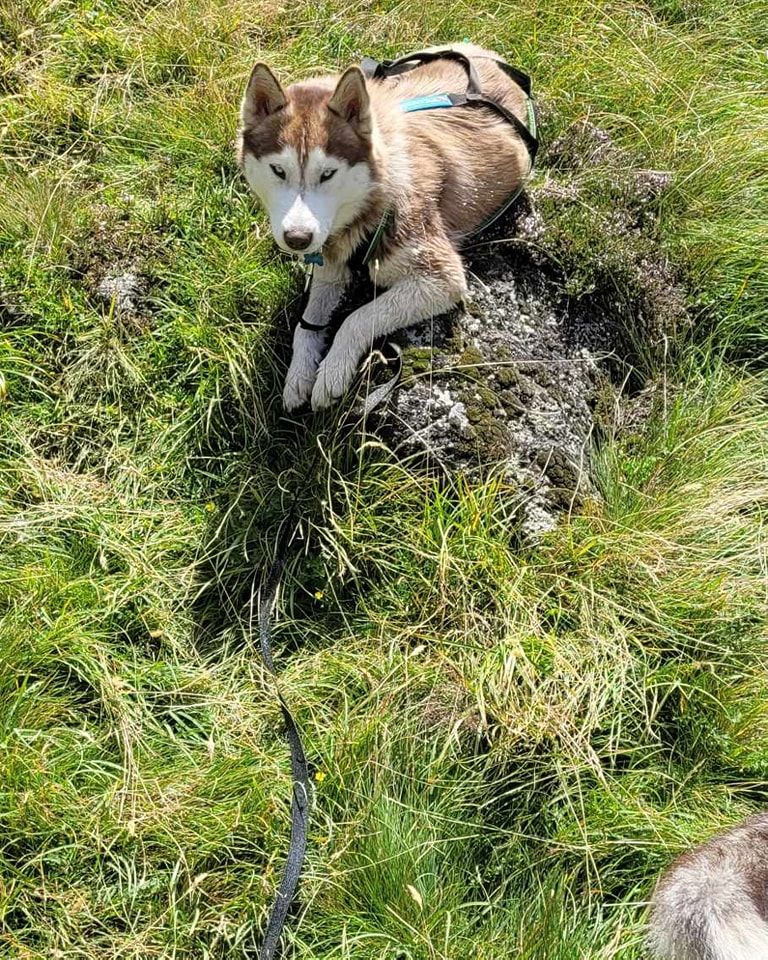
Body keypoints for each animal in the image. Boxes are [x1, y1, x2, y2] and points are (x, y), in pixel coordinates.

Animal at [237, 43, 532, 410]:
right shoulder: (330, 268)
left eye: (328, 173)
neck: (370, 212)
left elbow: (357, 318)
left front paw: (332, 370)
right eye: (278, 170)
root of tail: (484, 54)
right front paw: (300, 372)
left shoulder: (442, 278)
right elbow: (306, 326)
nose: (298, 239)